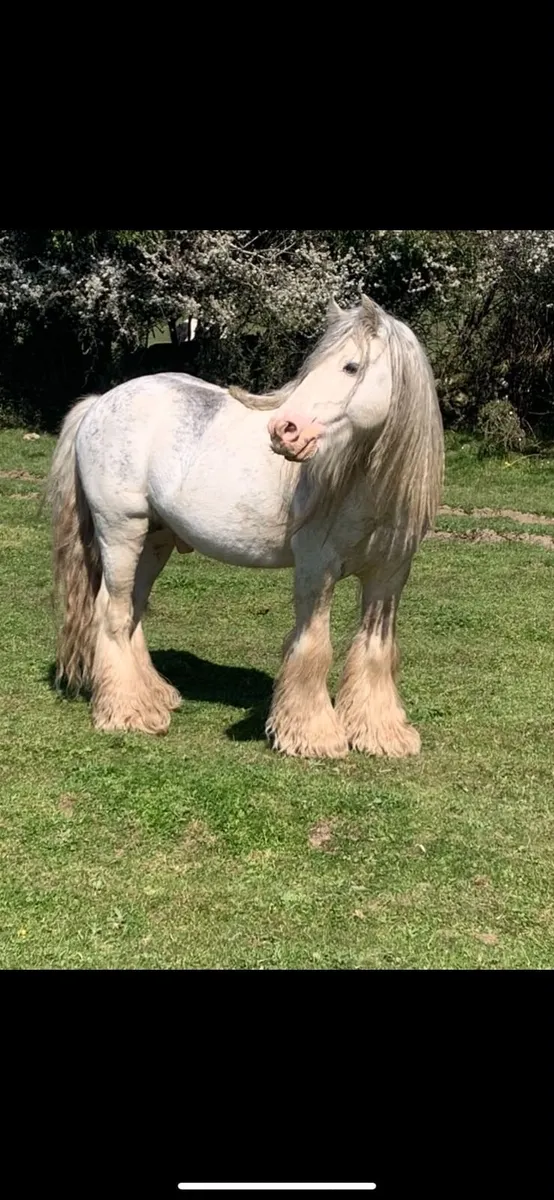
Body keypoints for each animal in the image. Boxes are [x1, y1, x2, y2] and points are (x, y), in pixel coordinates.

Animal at [47, 294, 444, 759]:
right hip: (121, 533)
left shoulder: (389, 576)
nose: (284, 431)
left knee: (132, 611)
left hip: (154, 542)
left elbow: (376, 650)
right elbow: (313, 646)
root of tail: (100, 403)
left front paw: (381, 733)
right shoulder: (317, 569)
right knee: (112, 611)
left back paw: (154, 696)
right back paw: (128, 712)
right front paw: (312, 736)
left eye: (350, 367)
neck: (359, 482)